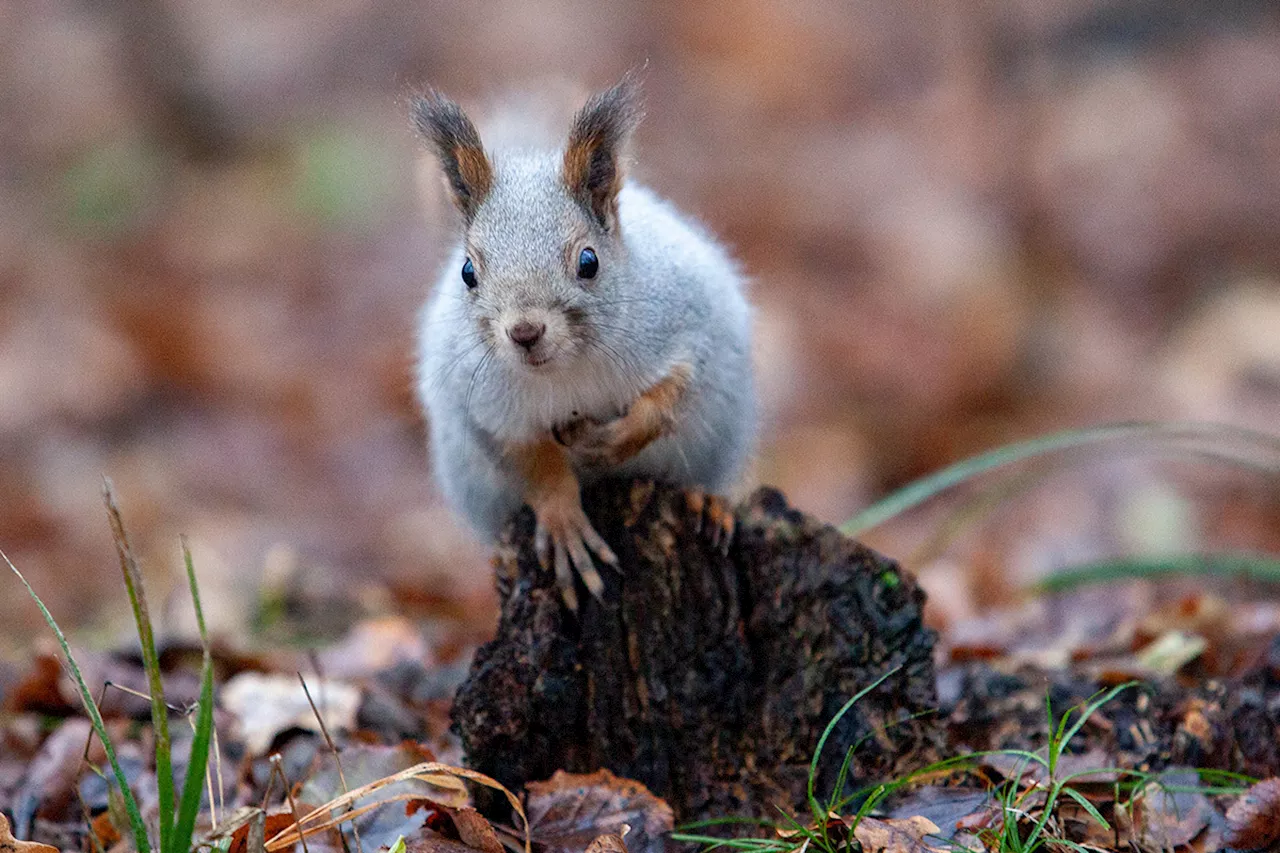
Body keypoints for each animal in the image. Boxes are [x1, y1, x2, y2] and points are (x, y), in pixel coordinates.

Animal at [409, 71, 752, 604]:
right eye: (468, 272)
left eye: (588, 261)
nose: (525, 332)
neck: (568, 367)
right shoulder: (483, 408)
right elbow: (532, 462)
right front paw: (564, 521)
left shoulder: (690, 329)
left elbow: (669, 396)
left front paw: (613, 441)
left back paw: (705, 500)